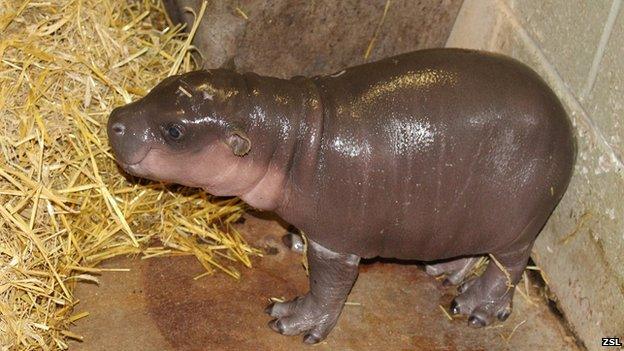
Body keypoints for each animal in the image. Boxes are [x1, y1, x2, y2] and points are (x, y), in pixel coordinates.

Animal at [107, 48, 576, 346]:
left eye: (174, 131)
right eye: (166, 84)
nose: (115, 120)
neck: (285, 134)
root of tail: (567, 124)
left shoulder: (336, 241)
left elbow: (328, 286)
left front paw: (292, 321)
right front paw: (293, 240)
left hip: (516, 222)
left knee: (508, 265)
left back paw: (474, 307)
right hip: (461, 213)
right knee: (470, 246)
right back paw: (443, 272)